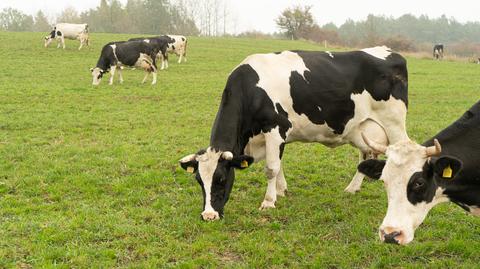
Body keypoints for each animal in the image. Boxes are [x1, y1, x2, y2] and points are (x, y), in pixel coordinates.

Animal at [180, 46, 408, 221]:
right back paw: (352, 188)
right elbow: (278, 164)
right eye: (199, 181)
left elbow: (271, 168)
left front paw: (268, 202)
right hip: (361, 128)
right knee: (365, 155)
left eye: (221, 179)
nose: (208, 216)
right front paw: (281, 191)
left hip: (394, 124)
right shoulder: (276, 136)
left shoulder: (274, 127)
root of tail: (389, 51)